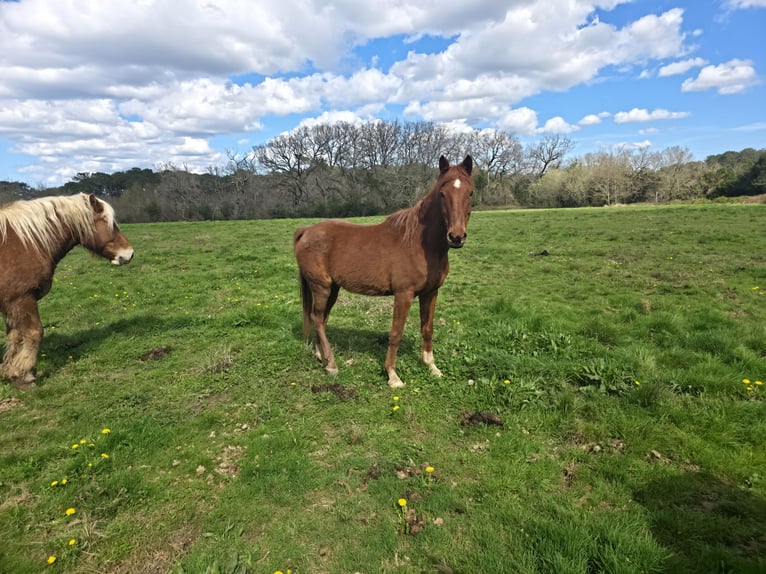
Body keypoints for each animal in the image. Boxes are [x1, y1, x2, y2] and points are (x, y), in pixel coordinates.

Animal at [0, 193, 134, 390]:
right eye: (106, 220)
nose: (129, 253)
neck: (24, 242)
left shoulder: (10, 304)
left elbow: (15, 337)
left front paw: (11, 371)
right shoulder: (22, 299)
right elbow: (34, 333)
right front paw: (24, 375)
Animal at [294, 155, 474, 388]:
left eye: (470, 193)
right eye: (442, 194)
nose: (456, 237)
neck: (419, 243)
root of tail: (306, 231)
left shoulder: (431, 293)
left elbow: (428, 328)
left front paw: (432, 367)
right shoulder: (403, 294)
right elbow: (396, 333)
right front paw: (392, 375)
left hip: (332, 288)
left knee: (321, 319)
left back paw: (321, 356)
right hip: (321, 287)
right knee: (317, 318)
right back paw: (331, 364)